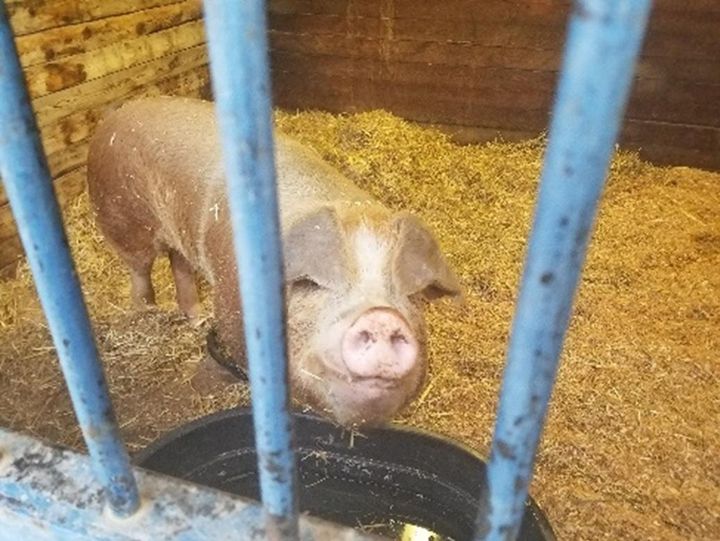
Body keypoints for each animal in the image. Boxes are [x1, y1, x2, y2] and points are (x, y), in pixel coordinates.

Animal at [86, 97, 461, 427]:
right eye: (310, 283)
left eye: (410, 296)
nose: (382, 317)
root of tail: (119, 111)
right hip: (120, 213)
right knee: (140, 267)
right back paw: (143, 312)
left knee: (179, 261)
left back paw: (196, 318)